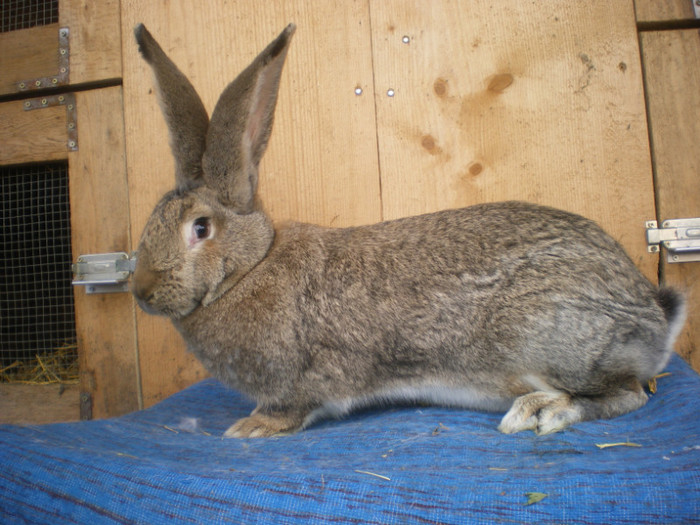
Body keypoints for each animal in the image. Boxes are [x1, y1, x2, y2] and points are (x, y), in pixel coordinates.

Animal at [130, 22, 684, 436]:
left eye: (201, 228)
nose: (141, 291)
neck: (251, 267)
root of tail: (655, 314)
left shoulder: (300, 381)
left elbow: (290, 408)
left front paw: (250, 428)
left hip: (549, 339)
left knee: (629, 394)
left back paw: (545, 411)